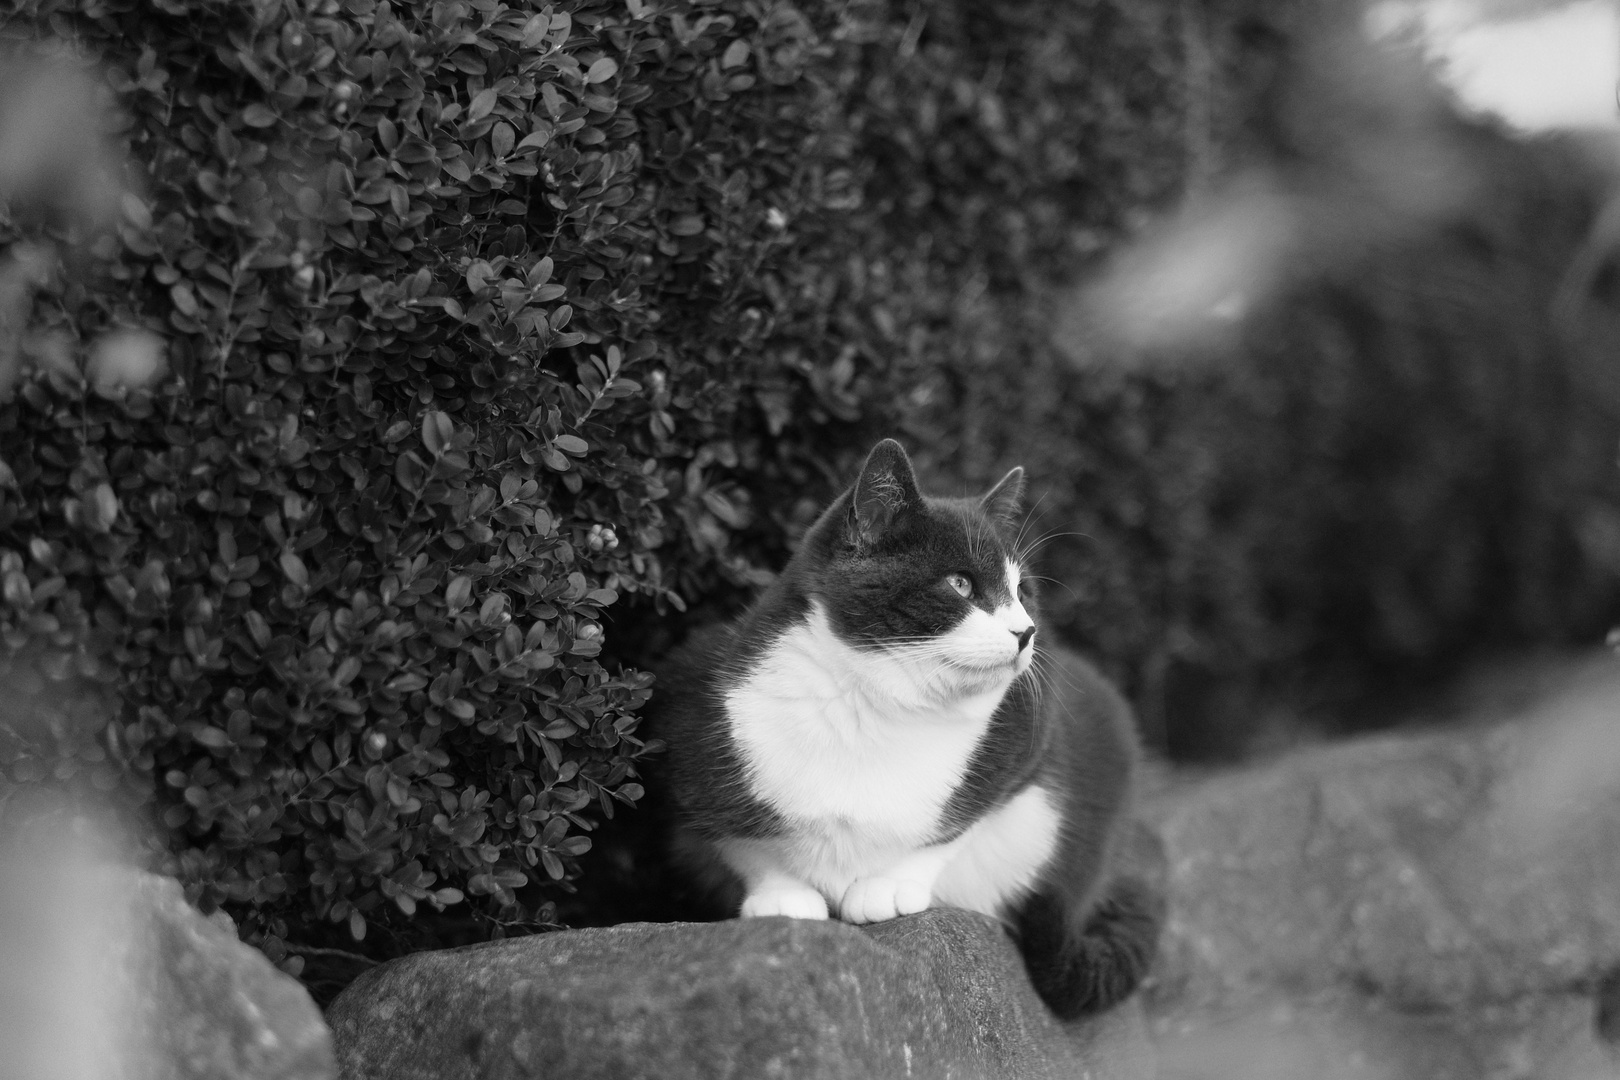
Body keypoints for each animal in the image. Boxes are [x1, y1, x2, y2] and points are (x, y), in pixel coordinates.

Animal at [651, 433, 1159, 1016]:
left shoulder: (1029, 733)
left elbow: (954, 828)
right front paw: (783, 896)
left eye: (1022, 592)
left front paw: (885, 888)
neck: (877, 708)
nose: (1027, 631)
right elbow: (739, 839)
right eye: (961, 584)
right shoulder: (689, 713)